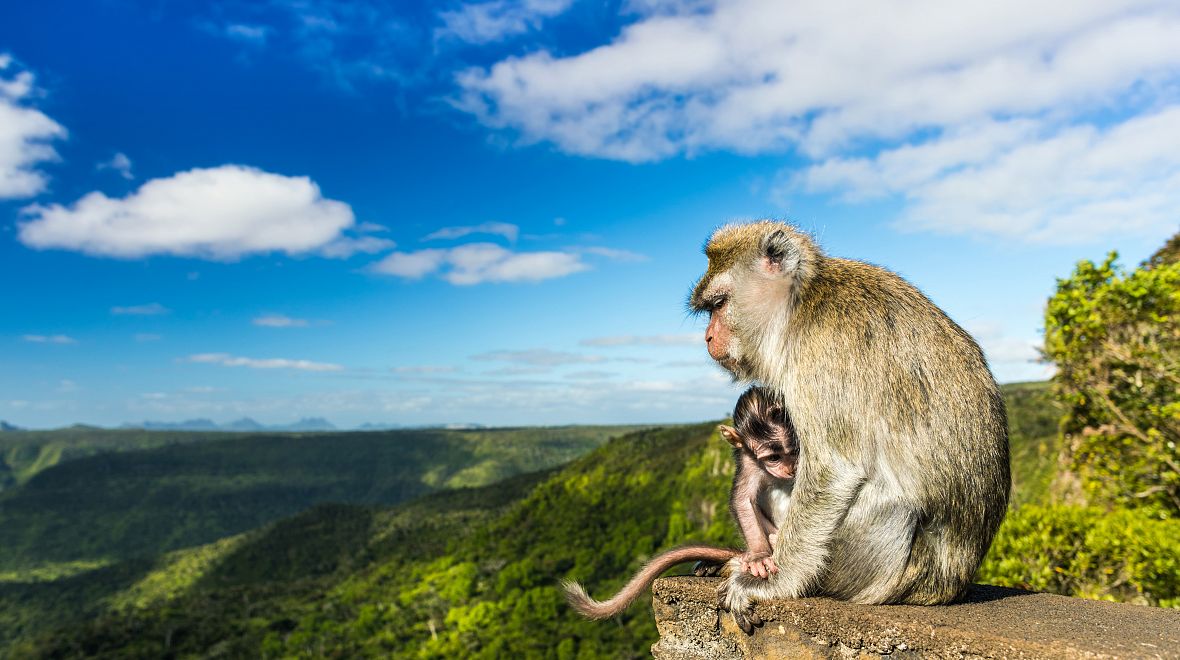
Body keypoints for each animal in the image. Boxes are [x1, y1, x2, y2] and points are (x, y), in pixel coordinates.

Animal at [564, 384, 802, 623]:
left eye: (793, 451)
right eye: (773, 457)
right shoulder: (748, 459)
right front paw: (760, 556)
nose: (790, 469)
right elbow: (743, 498)